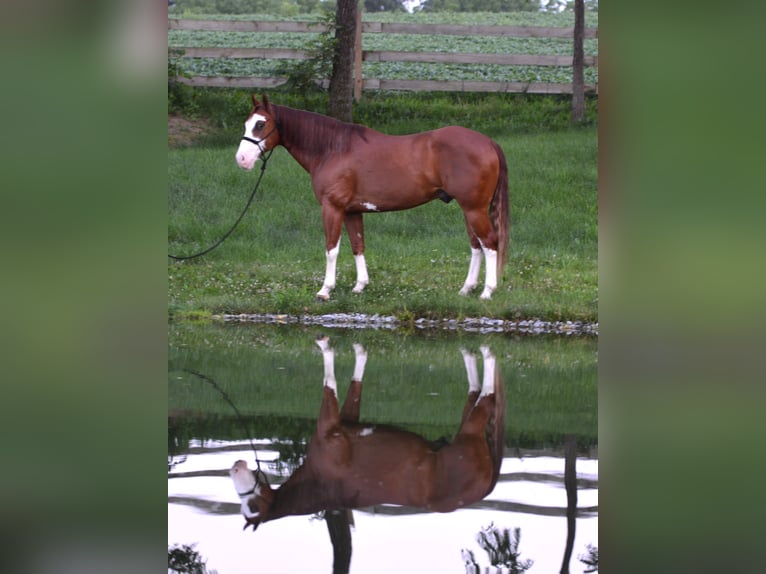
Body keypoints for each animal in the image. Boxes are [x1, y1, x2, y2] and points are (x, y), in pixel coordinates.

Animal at [229, 336, 505, 532]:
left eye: (253, 505)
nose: (235, 466)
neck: (321, 482)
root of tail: (486, 489)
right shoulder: (348, 419)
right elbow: (357, 378)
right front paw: (360, 349)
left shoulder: (330, 425)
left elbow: (329, 380)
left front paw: (325, 344)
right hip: (468, 423)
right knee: (475, 389)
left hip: (471, 430)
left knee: (488, 395)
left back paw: (488, 352)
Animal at [235, 94, 510, 300]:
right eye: (247, 124)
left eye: (261, 124)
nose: (242, 159)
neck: (332, 149)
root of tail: (488, 142)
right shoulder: (352, 211)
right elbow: (358, 246)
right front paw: (360, 286)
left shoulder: (332, 208)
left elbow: (331, 248)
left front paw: (325, 290)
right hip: (469, 209)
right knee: (476, 245)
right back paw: (466, 289)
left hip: (474, 209)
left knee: (490, 243)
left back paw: (487, 292)